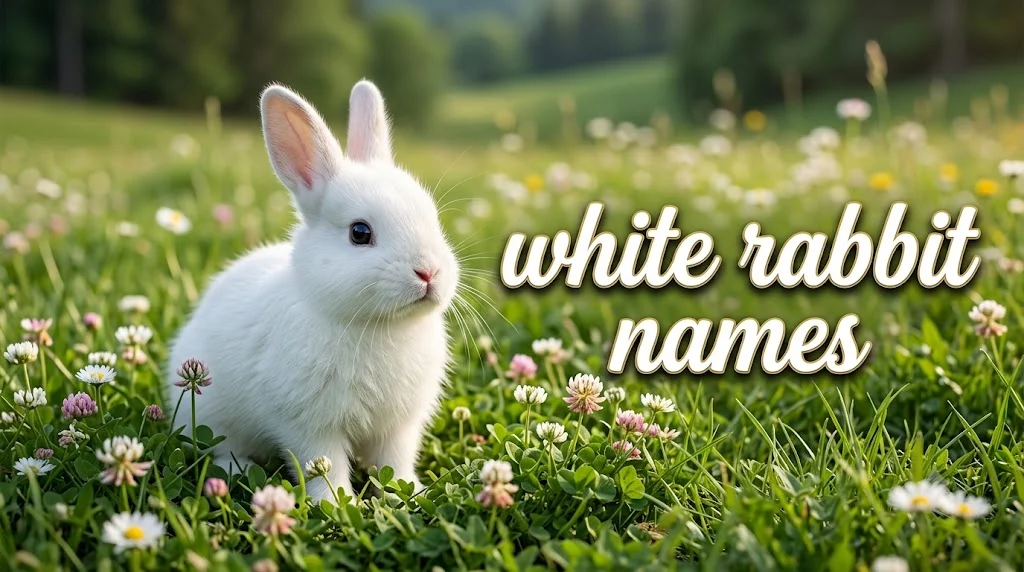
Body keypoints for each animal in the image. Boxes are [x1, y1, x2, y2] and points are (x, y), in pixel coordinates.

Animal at [166, 80, 459, 503]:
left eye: (433, 219)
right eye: (360, 233)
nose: (429, 272)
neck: (378, 325)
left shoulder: (398, 428)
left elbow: (395, 465)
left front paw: (407, 495)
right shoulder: (309, 425)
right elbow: (324, 467)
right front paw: (335, 505)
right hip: (209, 411)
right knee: (220, 448)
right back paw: (239, 470)